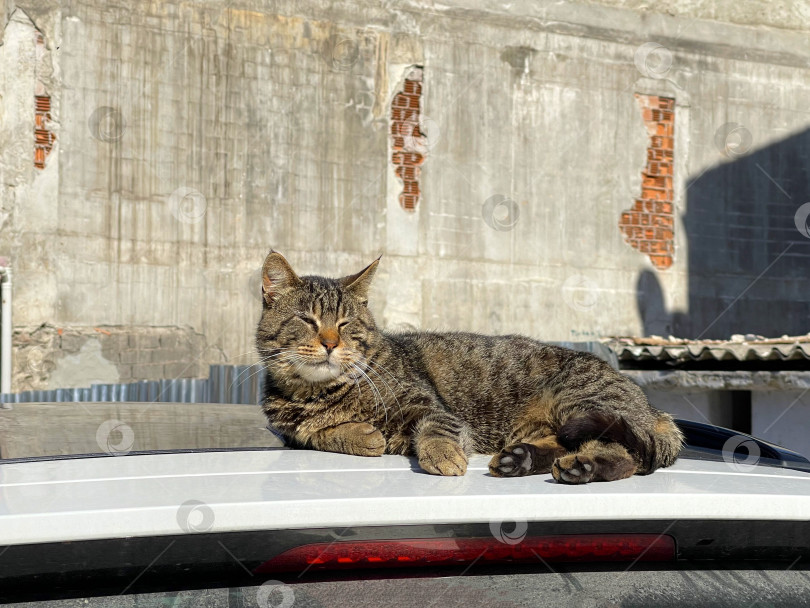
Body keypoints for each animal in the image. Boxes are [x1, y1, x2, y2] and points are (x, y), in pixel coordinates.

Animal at [254, 249, 680, 482]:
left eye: (345, 324)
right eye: (308, 320)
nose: (330, 343)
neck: (321, 393)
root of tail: (651, 406)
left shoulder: (428, 405)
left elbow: (436, 430)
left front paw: (442, 455)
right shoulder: (290, 432)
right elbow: (316, 434)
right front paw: (361, 435)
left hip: (579, 401)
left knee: (629, 454)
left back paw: (583, 467)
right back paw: (520, 459)